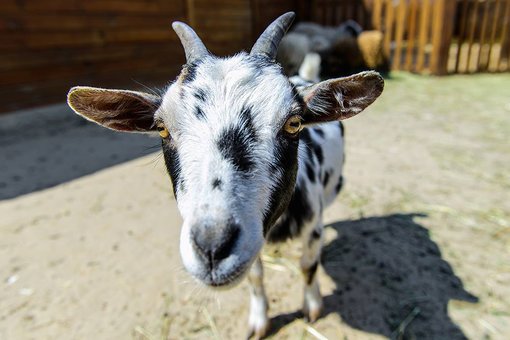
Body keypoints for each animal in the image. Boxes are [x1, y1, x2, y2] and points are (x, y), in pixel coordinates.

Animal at [66, 11, 382, 338]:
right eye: (162, 128)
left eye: (294, 123)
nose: (213, 249)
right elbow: (256, 276)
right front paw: (259, 321)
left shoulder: (311, 225)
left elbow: (308, 265)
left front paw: (313, 306)